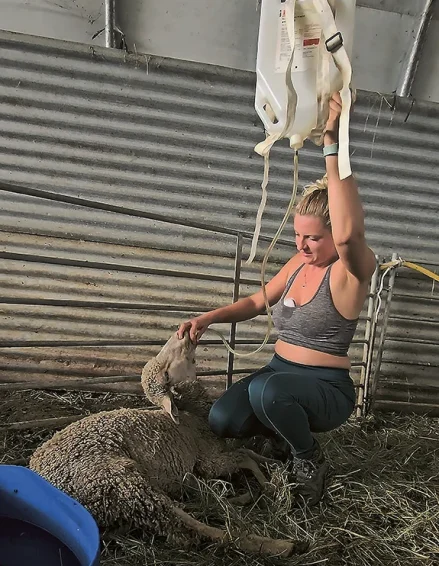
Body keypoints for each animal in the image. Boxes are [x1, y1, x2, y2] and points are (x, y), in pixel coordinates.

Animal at [29, 332, 300, 560]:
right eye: (167, 375)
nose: (183, 334)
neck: (193, 415)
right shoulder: (209, 460)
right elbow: (245, 456)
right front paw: (268, 483)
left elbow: (249, 451)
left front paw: (273, 464)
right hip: (119, 480)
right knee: (187, 527)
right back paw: (279, 544)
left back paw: (232, 497)